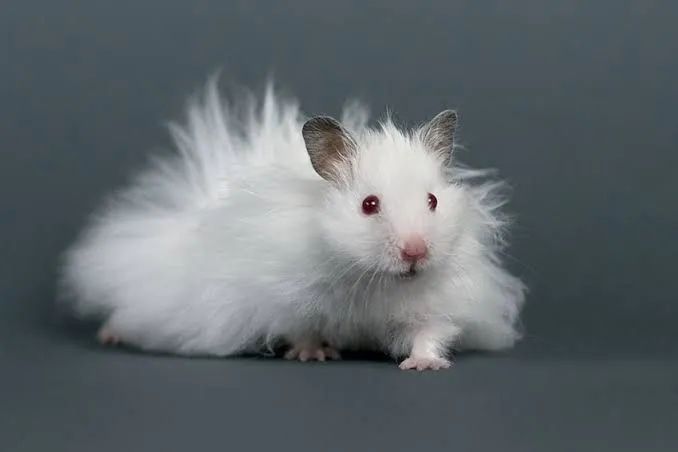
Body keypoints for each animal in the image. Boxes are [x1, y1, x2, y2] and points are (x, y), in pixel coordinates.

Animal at [59, 79, 526, 371]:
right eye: (369, 204)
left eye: (432, 201)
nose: (416, 253)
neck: (371, 279)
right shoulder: (282, 294)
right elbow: (301, 327)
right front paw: (311, 355)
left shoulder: (442, 302)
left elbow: (429, 333)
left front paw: (423, 365)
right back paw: (109, 334)